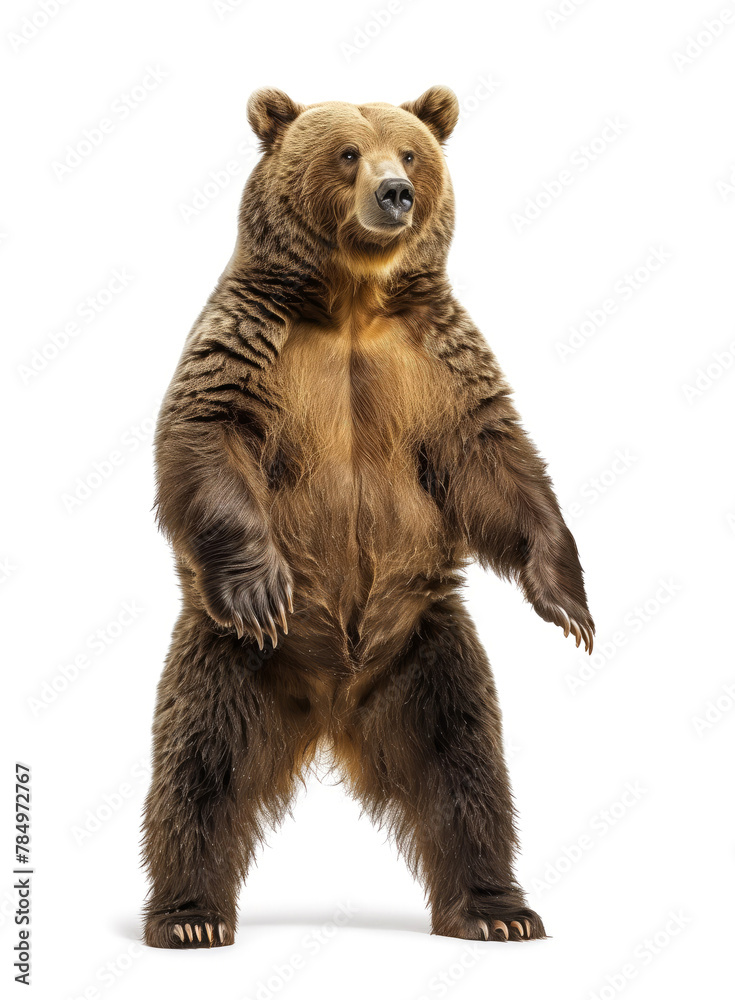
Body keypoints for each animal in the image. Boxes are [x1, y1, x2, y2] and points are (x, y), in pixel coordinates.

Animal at [141, 85, 594, 949]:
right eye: (346, 152)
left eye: (409, 151)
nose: (396, 193)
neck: (354, 298)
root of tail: (331, 708)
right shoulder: (252, 338)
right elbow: (208, 430)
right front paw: (262, 586)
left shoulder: (439, 359)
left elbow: (494, 456)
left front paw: (567, 600)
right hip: (229, 659)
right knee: (201, 767)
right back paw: (188, 917)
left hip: (427, 651)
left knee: (465, 766)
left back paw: (496, 908)